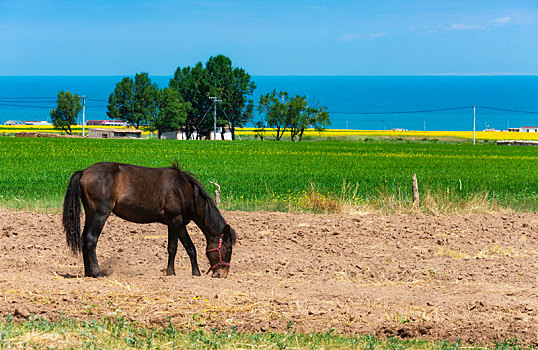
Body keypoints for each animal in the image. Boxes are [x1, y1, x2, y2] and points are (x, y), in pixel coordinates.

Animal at [61, 161, 236, 278]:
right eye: (227, 248)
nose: (223, 274)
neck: (183, 189)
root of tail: (83, 171)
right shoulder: (174, 221)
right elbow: (173, 247)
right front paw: (170, 272)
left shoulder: (181, 224)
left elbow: (190, 247)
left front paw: (196, 273)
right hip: (99, 214)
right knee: (91, 239)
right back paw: (97, 272)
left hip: (91, 214)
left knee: (84, 239)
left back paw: (88, 273)